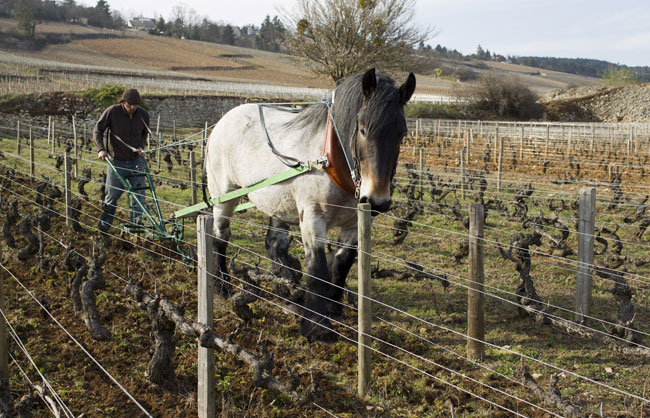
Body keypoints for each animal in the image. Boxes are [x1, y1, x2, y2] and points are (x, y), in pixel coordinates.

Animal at [204, 68, 416, 342]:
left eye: (402, 134)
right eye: (362, 129)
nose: (377, 200)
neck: (331, 160)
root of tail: (226, 118)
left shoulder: (355, 222)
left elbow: (342, 264)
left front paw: (333, 309)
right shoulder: (313, 219)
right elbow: (317, 271)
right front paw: (316, 326)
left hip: (278, 201)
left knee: (275, 243)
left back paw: (288, 291)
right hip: (224, 194)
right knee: (220, 236)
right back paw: (221, 286)